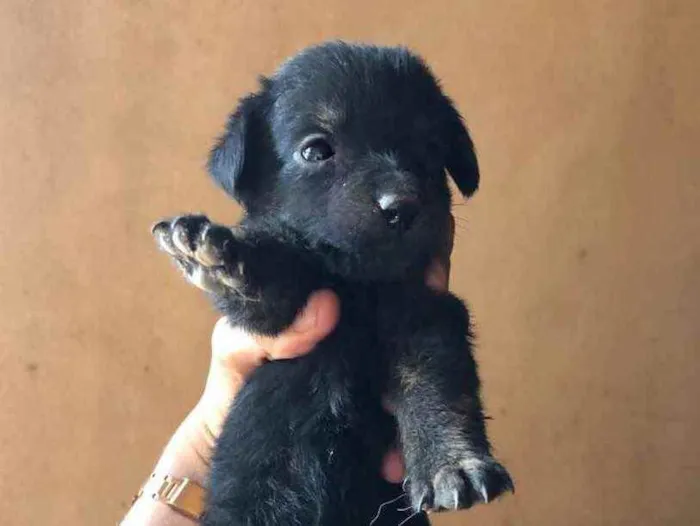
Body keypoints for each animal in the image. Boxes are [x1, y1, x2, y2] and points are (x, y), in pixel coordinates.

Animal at [154, 42, 516, 526]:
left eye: (429, 147)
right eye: (316, 151)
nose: (402, 206)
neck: (359, 288)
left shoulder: (427, 315)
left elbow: (436, 386)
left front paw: (453, 463)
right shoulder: (284, 322)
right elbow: (270, 271)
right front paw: (220, 257)